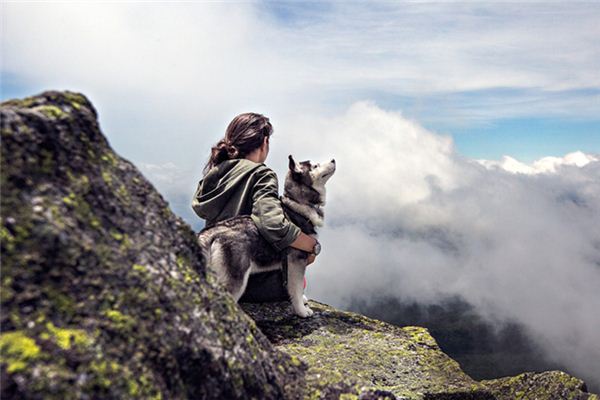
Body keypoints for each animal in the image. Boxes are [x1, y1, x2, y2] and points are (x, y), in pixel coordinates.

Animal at [198, 155, 336, 318]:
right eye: (315, 166)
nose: (333, 159)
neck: (297, 204)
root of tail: (211, 231)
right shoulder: (296, 260)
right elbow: (296, 287)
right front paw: (301, 311)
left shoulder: (288, 265)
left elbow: (293, 287)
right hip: (236, 278)